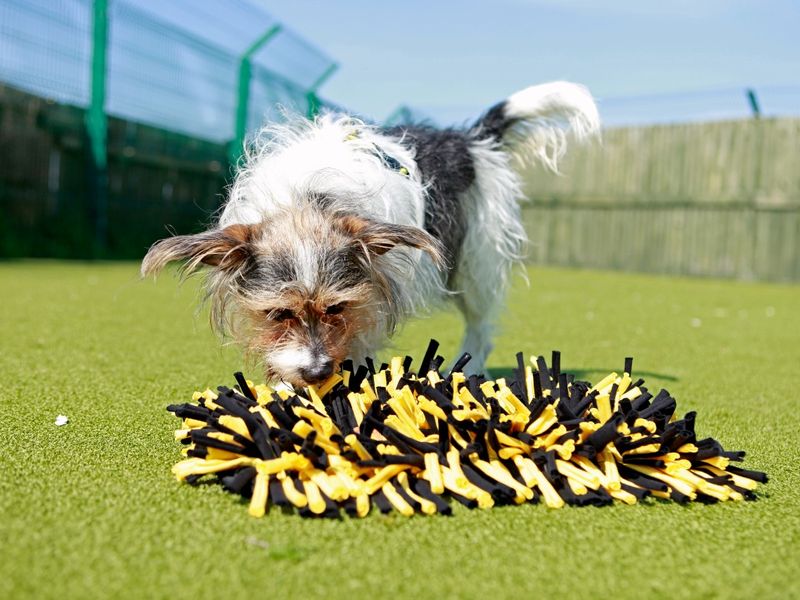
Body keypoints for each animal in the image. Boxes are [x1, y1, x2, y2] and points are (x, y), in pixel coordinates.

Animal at [141, 82, 596, 386]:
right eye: (278, 314)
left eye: (337, 307)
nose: (317, 370)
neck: (309, 200)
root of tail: (469, 140)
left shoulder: (376, 290)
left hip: (476, 263)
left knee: (481, 326)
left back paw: (466, 370)